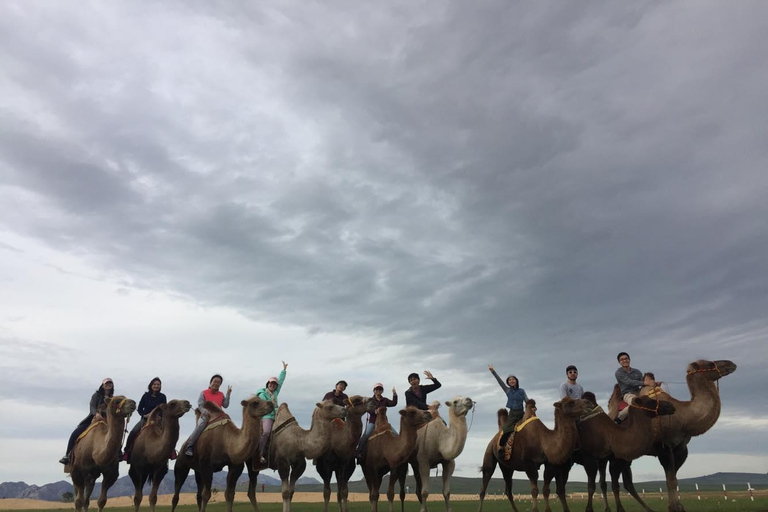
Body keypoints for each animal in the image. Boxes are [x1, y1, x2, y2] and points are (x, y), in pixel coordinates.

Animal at [540, 394, 680, 512]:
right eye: (650, 401)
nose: (670, 405)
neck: (611, 434)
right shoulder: (590, 459)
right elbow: (591, 486)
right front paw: (589, 509)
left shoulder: (606, 459)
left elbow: (609, 485)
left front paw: (612, 509)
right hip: (556, 463)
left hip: (565, 464)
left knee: (560, 488)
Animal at [608, 360, 736, 512]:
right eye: (710, 364)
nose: (731, 364)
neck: (683, 417)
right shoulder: (664, 447)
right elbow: (671, 480)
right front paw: (675, 508)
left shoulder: (681, 449)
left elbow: (673, 477)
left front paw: (677, 507)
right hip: (615, 453)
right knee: (614, 479)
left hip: (627, 455)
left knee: (627, 481)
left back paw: (649, 509)